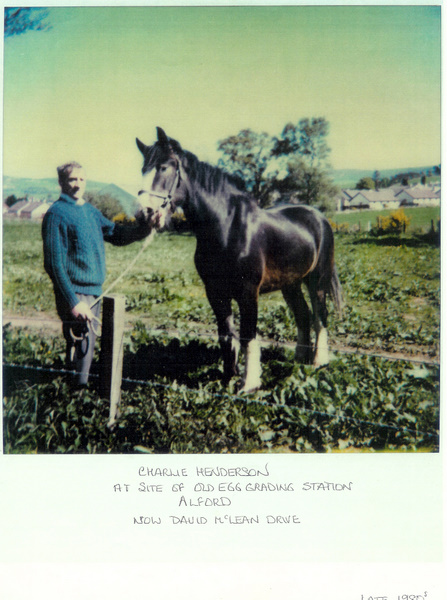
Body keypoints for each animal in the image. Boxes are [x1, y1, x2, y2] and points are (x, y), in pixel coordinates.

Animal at [136, 127, 344, 394]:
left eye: (163, 167)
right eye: (143, 169)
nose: (146, 214)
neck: (227, 227)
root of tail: (320, 218)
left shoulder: (248, 292)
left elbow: (247, 335)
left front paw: (249, 384)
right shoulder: (215, 292)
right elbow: (226, 335)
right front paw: (228, 378)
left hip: (317, 280)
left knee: (320, 315)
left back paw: (319, 362)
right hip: (291, 284)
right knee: (303, 315)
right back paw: (299, 360)